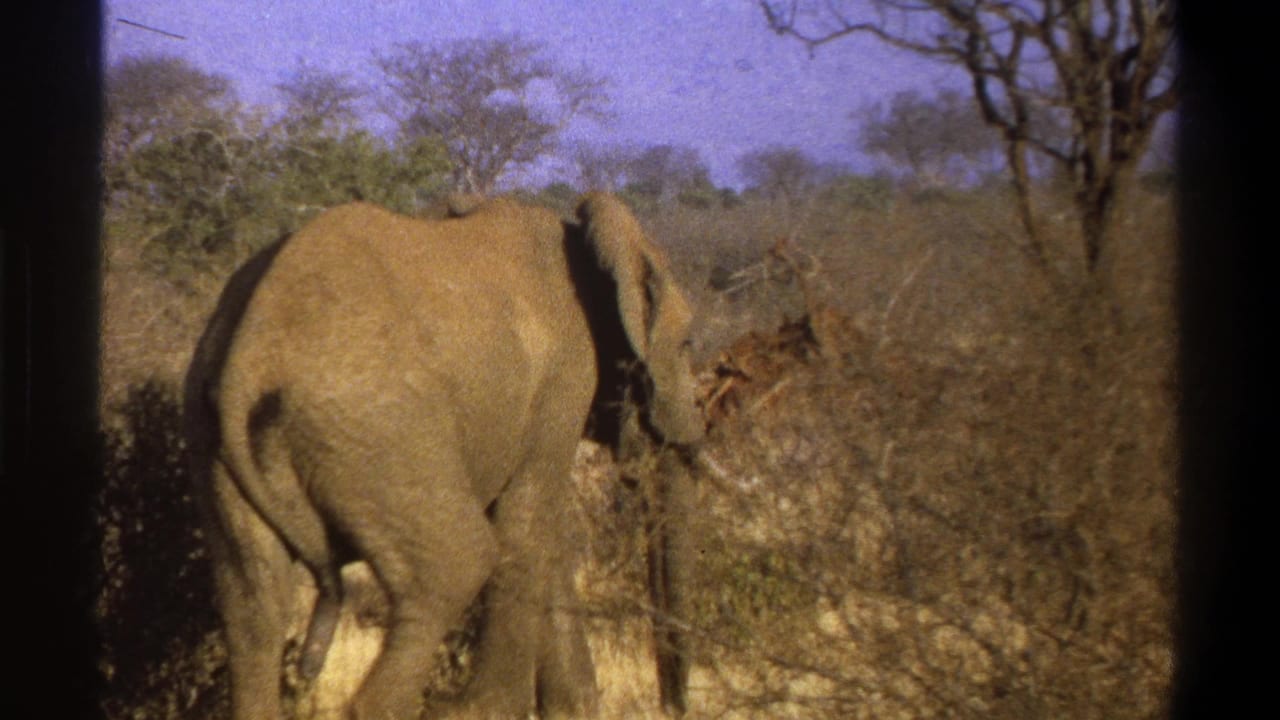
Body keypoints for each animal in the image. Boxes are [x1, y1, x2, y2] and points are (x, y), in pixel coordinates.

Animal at [183, 192, 705, 720]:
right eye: (687, 346)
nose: (674, 707)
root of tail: (247, 362)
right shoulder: (564, 377)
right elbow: (526, 525)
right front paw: (488, 709)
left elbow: (545, 536)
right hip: (382, 437)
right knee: (459, 564)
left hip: (220, 451)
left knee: (254, 603)